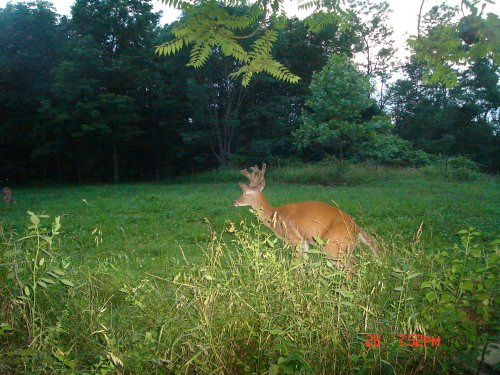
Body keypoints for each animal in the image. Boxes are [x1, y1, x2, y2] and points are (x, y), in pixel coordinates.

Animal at [234, 164, 378, 274]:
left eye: (244, 193)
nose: (234, 202)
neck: (274, 216)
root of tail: (356, 228)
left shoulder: (294, 239)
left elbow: (295, 265)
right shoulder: (304, 242)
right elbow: (303, 265)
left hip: (333, 245)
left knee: (351, 265)